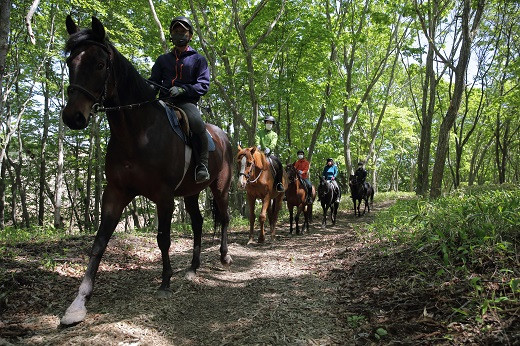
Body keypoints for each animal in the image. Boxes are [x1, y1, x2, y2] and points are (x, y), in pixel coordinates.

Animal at [59, 15, 234, 324]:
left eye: (100, 64)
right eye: (70, 62)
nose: (73, 117)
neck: (137, 132)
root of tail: (224, 136)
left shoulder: (163, 196)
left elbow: (163, 238)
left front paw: (165, 283)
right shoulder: (115, 192)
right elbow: (99, 242)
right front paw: (78, 303)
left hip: (220, 187)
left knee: (224, 218)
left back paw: (224, 256)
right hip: (191, 193)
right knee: (198, 223)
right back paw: (193, 268)